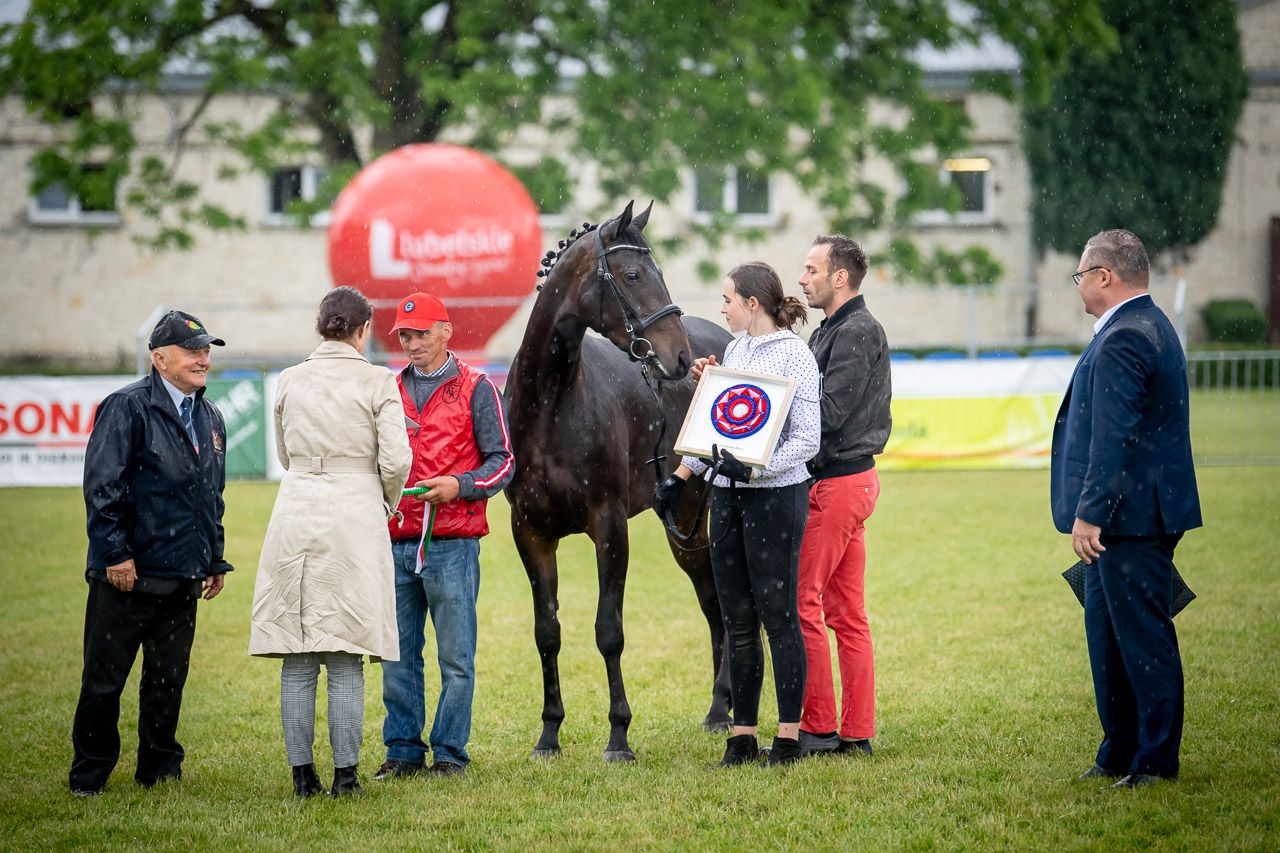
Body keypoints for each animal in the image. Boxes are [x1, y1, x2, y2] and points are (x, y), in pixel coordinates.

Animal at [504, 200, 733, 761]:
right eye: (632, 275)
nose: (679, 358)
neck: (550, 404)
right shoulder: (530, 534)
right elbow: (547, 632)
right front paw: (549, 735)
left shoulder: (609, 527)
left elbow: (609, 631)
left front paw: (618, 736)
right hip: (685, 530)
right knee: (712, 603)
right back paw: (720, 710)